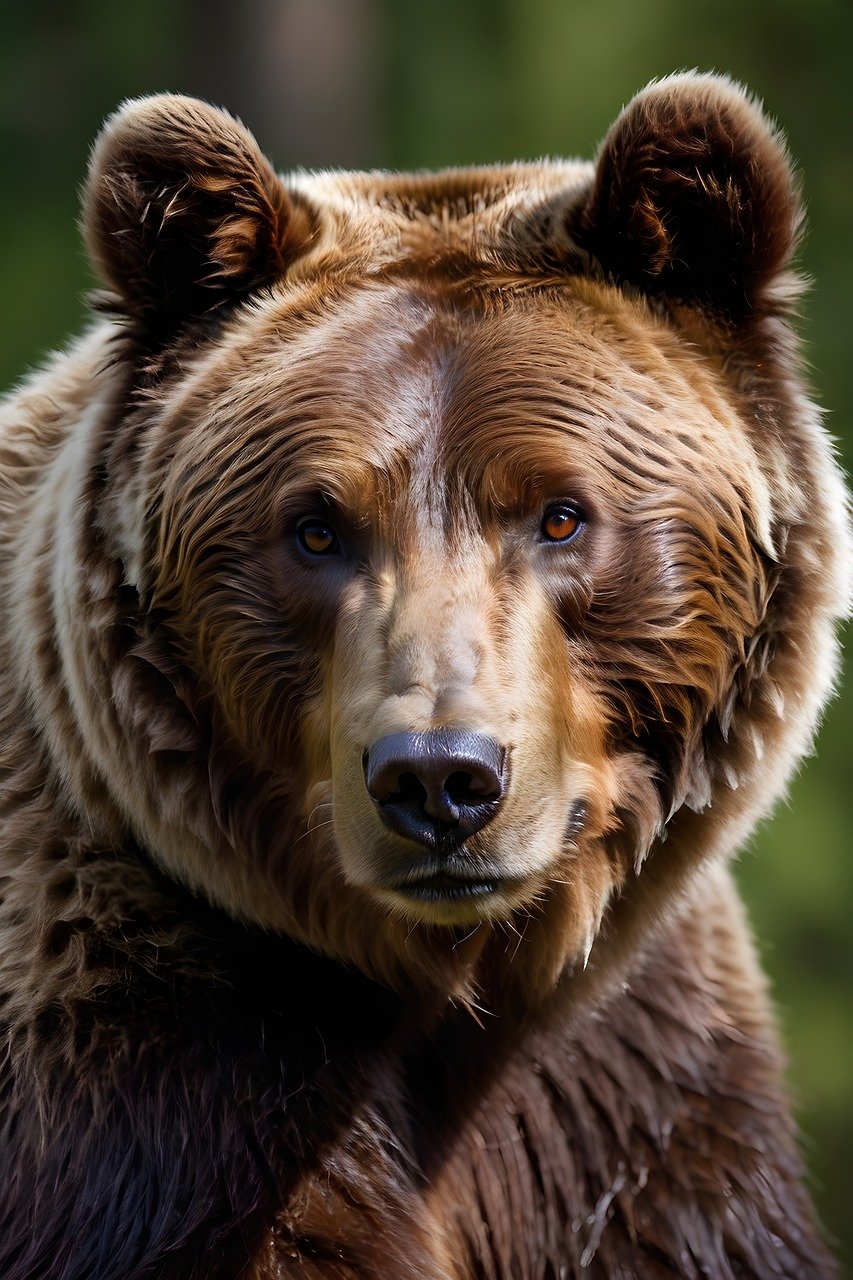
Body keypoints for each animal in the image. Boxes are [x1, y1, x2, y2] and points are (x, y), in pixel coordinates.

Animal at [0, 70, 849, 1279]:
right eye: (314, 526)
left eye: (560, 513)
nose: (438, 780)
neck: (441, 982)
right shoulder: (159, 1076)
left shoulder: (635, 1092)